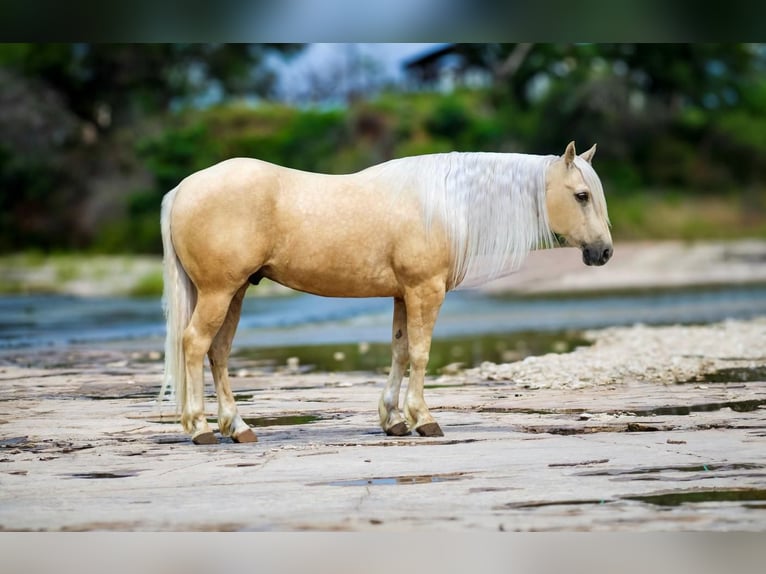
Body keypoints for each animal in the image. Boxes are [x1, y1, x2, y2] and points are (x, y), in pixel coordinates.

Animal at [160, 143, 612, 446]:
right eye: (582, 195)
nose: (604, 252)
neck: (445, 205)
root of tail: (182, 189)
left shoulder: (402, 294)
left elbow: (400, 351)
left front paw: (393, 419)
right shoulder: (425, 290)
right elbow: (421, 353)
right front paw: (423, 419)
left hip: (234, 292)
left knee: (218, 352)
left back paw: (238, 427)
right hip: (218, 292)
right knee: (195, 344)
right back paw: (200, 428)